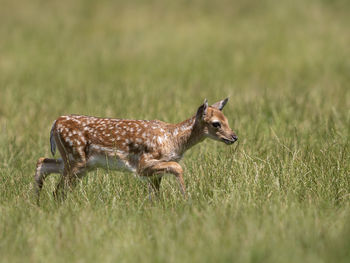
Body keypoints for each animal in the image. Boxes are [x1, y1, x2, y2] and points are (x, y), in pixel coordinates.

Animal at [34, 99, 238, 202]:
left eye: (227, 119)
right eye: (216, 123)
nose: (234, 137)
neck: (172, 138)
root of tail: (55, 123)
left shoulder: (154, 172)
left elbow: (155, 194)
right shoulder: (142, 164)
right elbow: (177, 167)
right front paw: (186, 199)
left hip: (76, 163)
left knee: (43, 162)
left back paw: (35, 202)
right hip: (76, 159)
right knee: (58, 190)